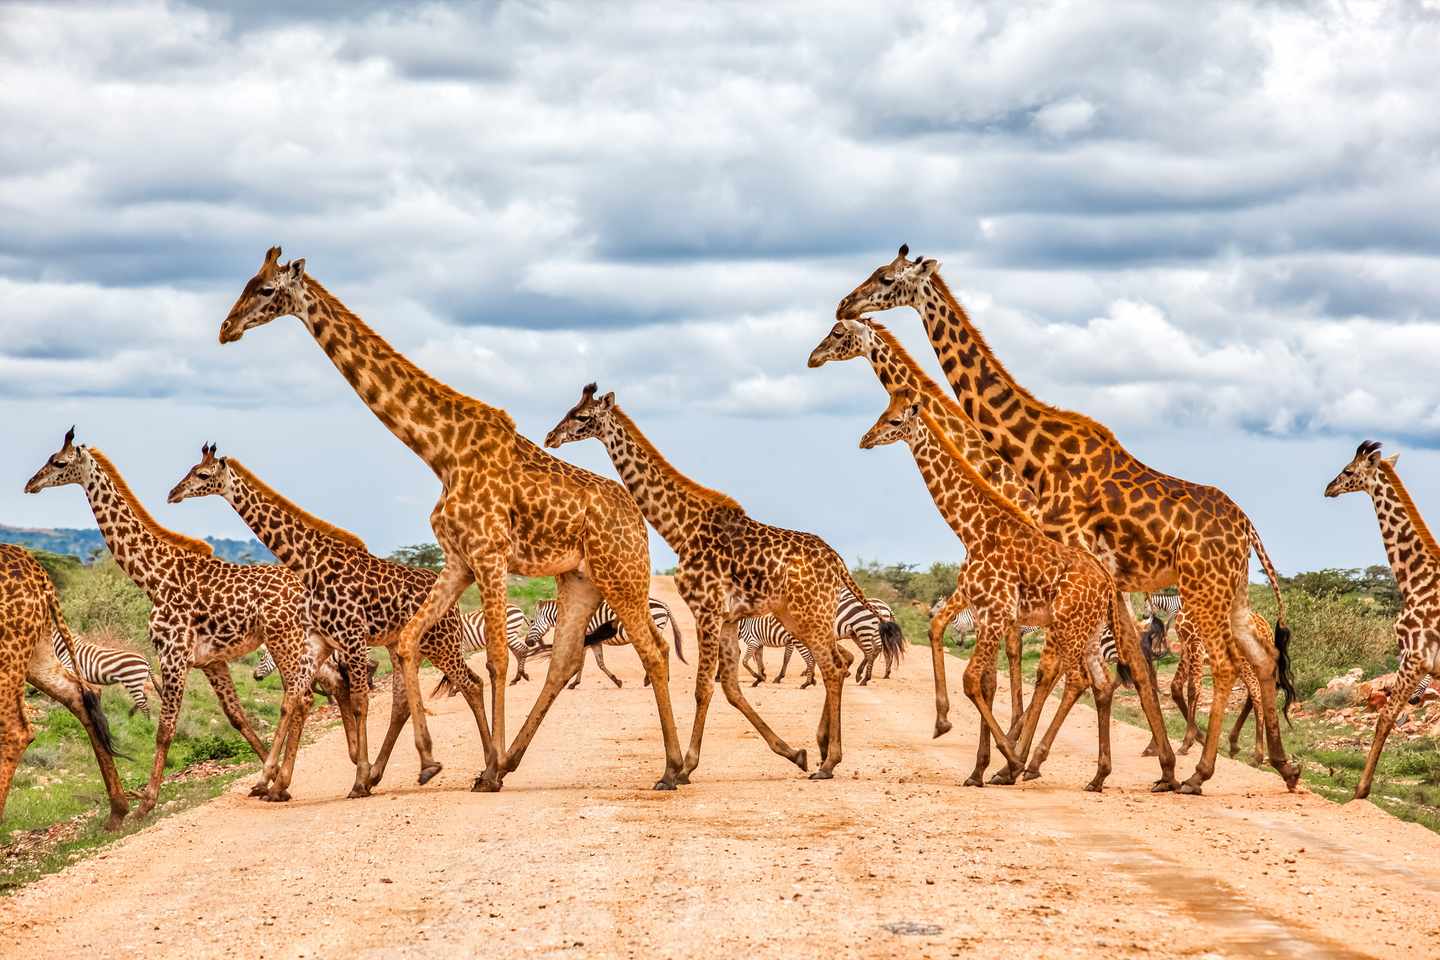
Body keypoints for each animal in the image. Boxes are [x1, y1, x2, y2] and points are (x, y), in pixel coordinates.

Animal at [526, 597, 685, 689]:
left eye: (532, 622)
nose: (527, 642)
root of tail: (663, 604)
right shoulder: (593, 639)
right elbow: (599, 663)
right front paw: (617, 681)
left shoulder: (587, 636)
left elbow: (582, 662)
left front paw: (573, 683)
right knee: (664, 648)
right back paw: (658, 678)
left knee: (659, 651)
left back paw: (655, 679)